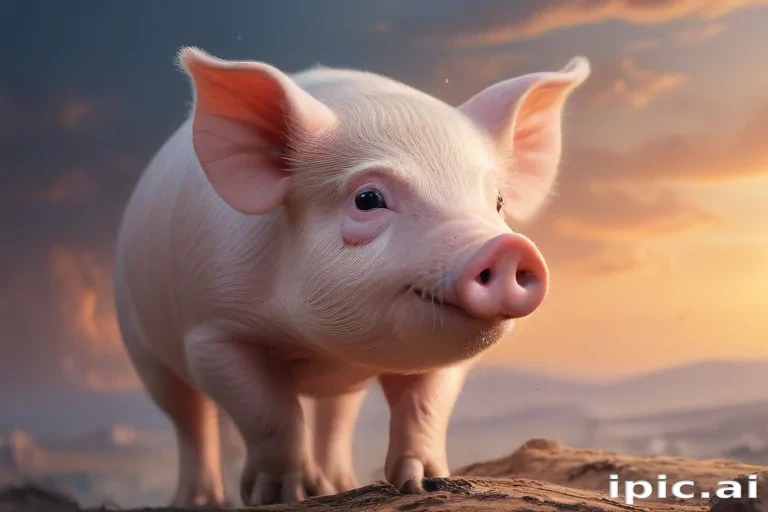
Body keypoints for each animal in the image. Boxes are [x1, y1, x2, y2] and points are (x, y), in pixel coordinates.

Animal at [112, 46, 590, 506]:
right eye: (368, 198)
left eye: (498, 201)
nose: (507, 247)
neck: (313, 344)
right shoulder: (214, 331)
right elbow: (269, 412)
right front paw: (283, 496)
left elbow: (424, 406)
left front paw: (426, 484)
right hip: (142, 346)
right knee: (189, 420)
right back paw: (203, 500)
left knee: (336, 416)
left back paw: (340, 483)